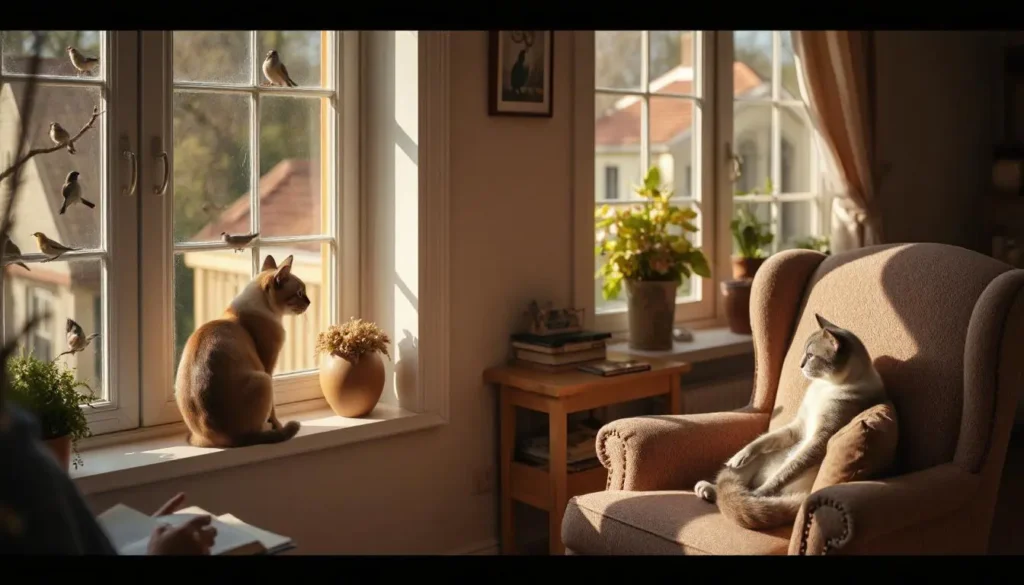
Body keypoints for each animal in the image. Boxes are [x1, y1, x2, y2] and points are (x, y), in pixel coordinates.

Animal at [175, 253, 307, 448]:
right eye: (299, 293)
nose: (309, 302)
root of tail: (232, 439)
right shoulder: (269, 368)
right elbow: (273, 410)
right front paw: (277, 425)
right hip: (264, 380)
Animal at [696, 315, 888, 532]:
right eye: (805, 353)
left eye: (811, 356)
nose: (800, 365)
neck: (826, 386)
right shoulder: (798, 429)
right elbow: (759, 443)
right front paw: (740, 456)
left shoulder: (818, 440)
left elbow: (784, 474)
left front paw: (761, 493)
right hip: (764, 458)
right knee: (734, 482)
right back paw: (708, 488)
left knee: (764, 488)